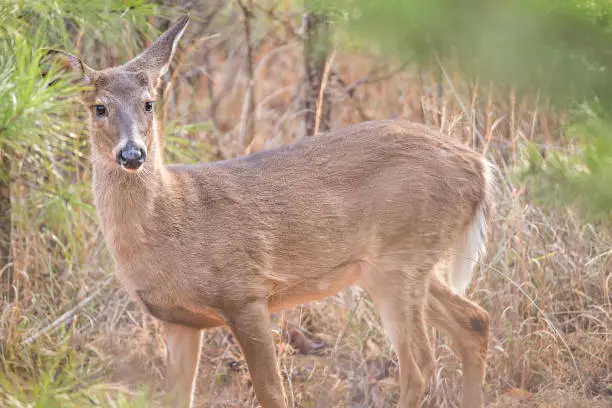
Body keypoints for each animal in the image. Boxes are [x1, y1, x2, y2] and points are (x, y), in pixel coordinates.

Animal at [46, 14, 498, 408]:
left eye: (149, 103)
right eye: (99, 107)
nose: (132, 154)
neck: (171, 221)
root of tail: (479, 168)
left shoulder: (245, 292)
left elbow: (271, 393)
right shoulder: (179, 320)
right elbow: (175, 398)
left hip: (400, 259)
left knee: (420, 367)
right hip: (398, 263)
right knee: (474, 321)